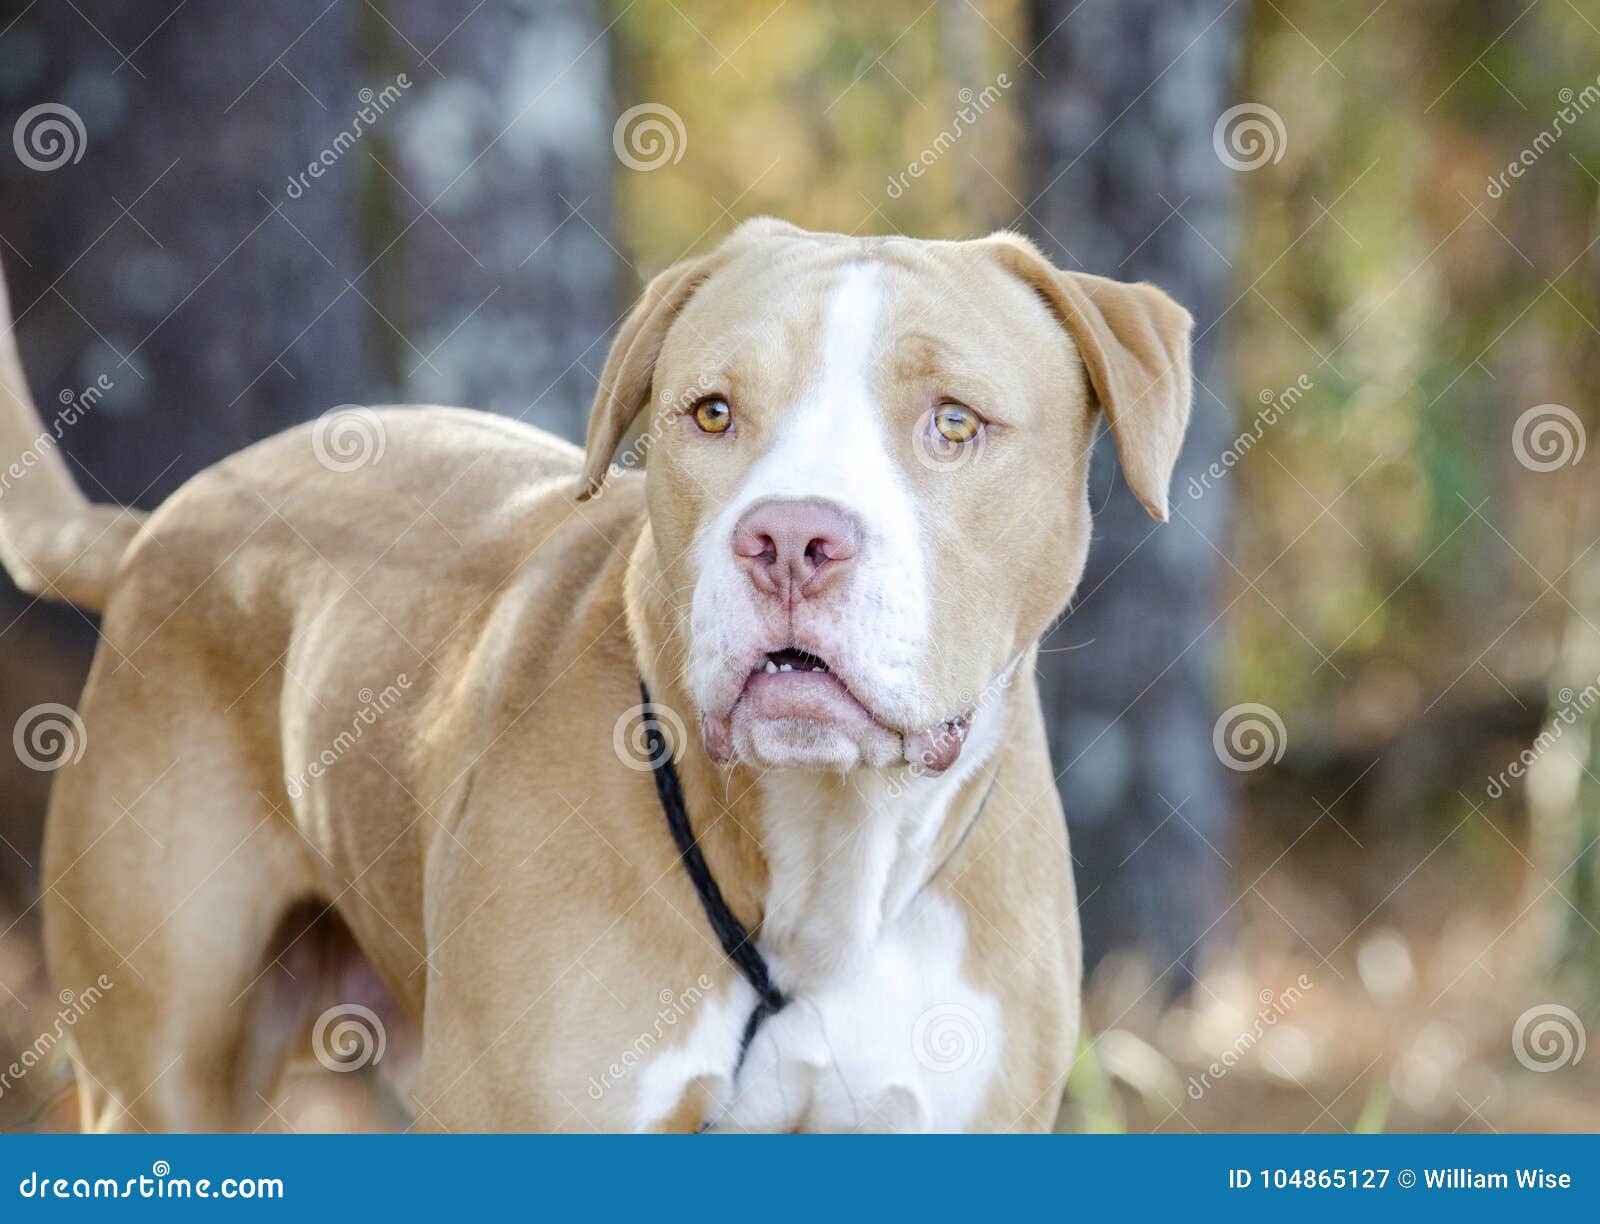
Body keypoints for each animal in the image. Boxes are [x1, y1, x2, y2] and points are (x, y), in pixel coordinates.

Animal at [0, 217, 1190, 1126]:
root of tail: (158, 525)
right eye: (711, 412)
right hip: (159, 1080)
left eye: (953, 422)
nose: (790, 540)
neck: (825, 862)